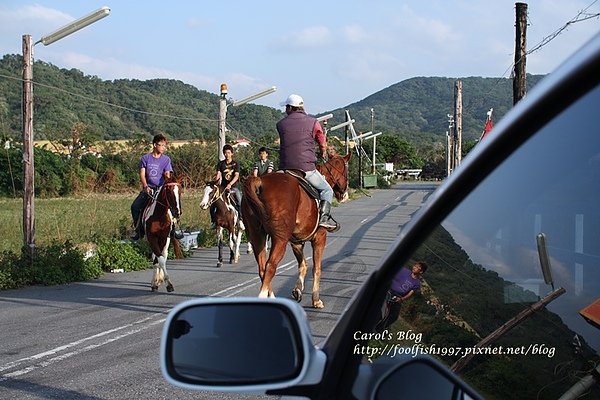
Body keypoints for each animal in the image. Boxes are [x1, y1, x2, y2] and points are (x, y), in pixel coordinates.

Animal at [240, 153, 350, 310]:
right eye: (346, 172)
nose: (344, 194)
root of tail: (259, 181)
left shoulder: (296, 242)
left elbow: (303, 265)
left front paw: (298, 289)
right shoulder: (319, 238)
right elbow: (316, 269)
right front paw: (316, 300)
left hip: (257, 237)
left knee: (262, 269)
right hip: (280, 240)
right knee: (270, 266)